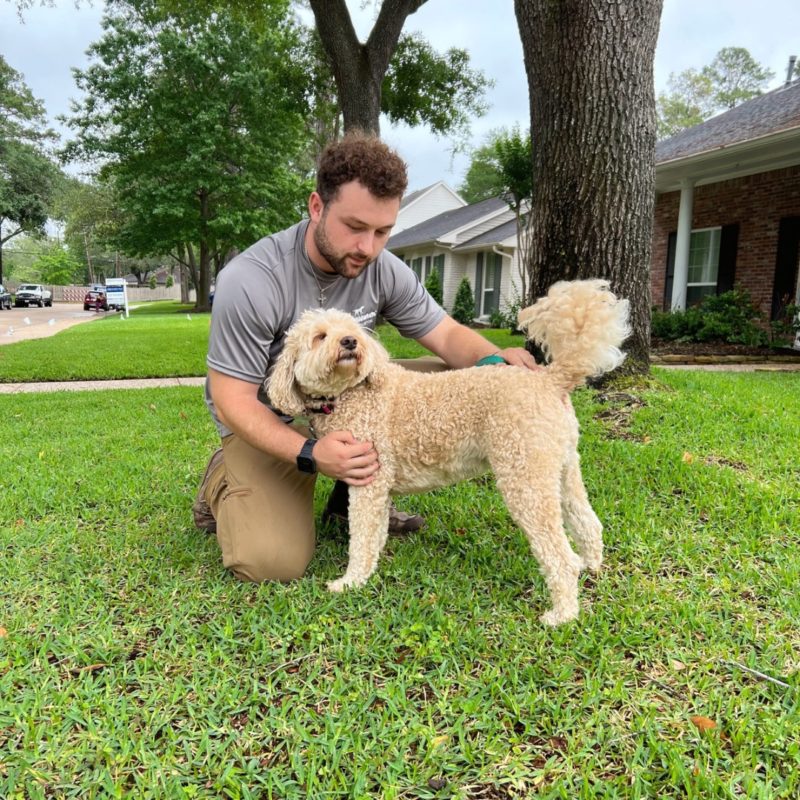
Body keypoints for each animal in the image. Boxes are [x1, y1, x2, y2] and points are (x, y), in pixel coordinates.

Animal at [268, 280, 632, 624]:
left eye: (353, 332)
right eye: (319, 336)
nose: (349, 343)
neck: (351, 394)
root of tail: (550, 379)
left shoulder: (368, 481)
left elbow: (362, 538)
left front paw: (351, 582)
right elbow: (375, 535)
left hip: (525, 476)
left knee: (558, 554)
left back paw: (562, 614)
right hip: (562, 468)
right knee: (588, 523)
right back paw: (590, 566)